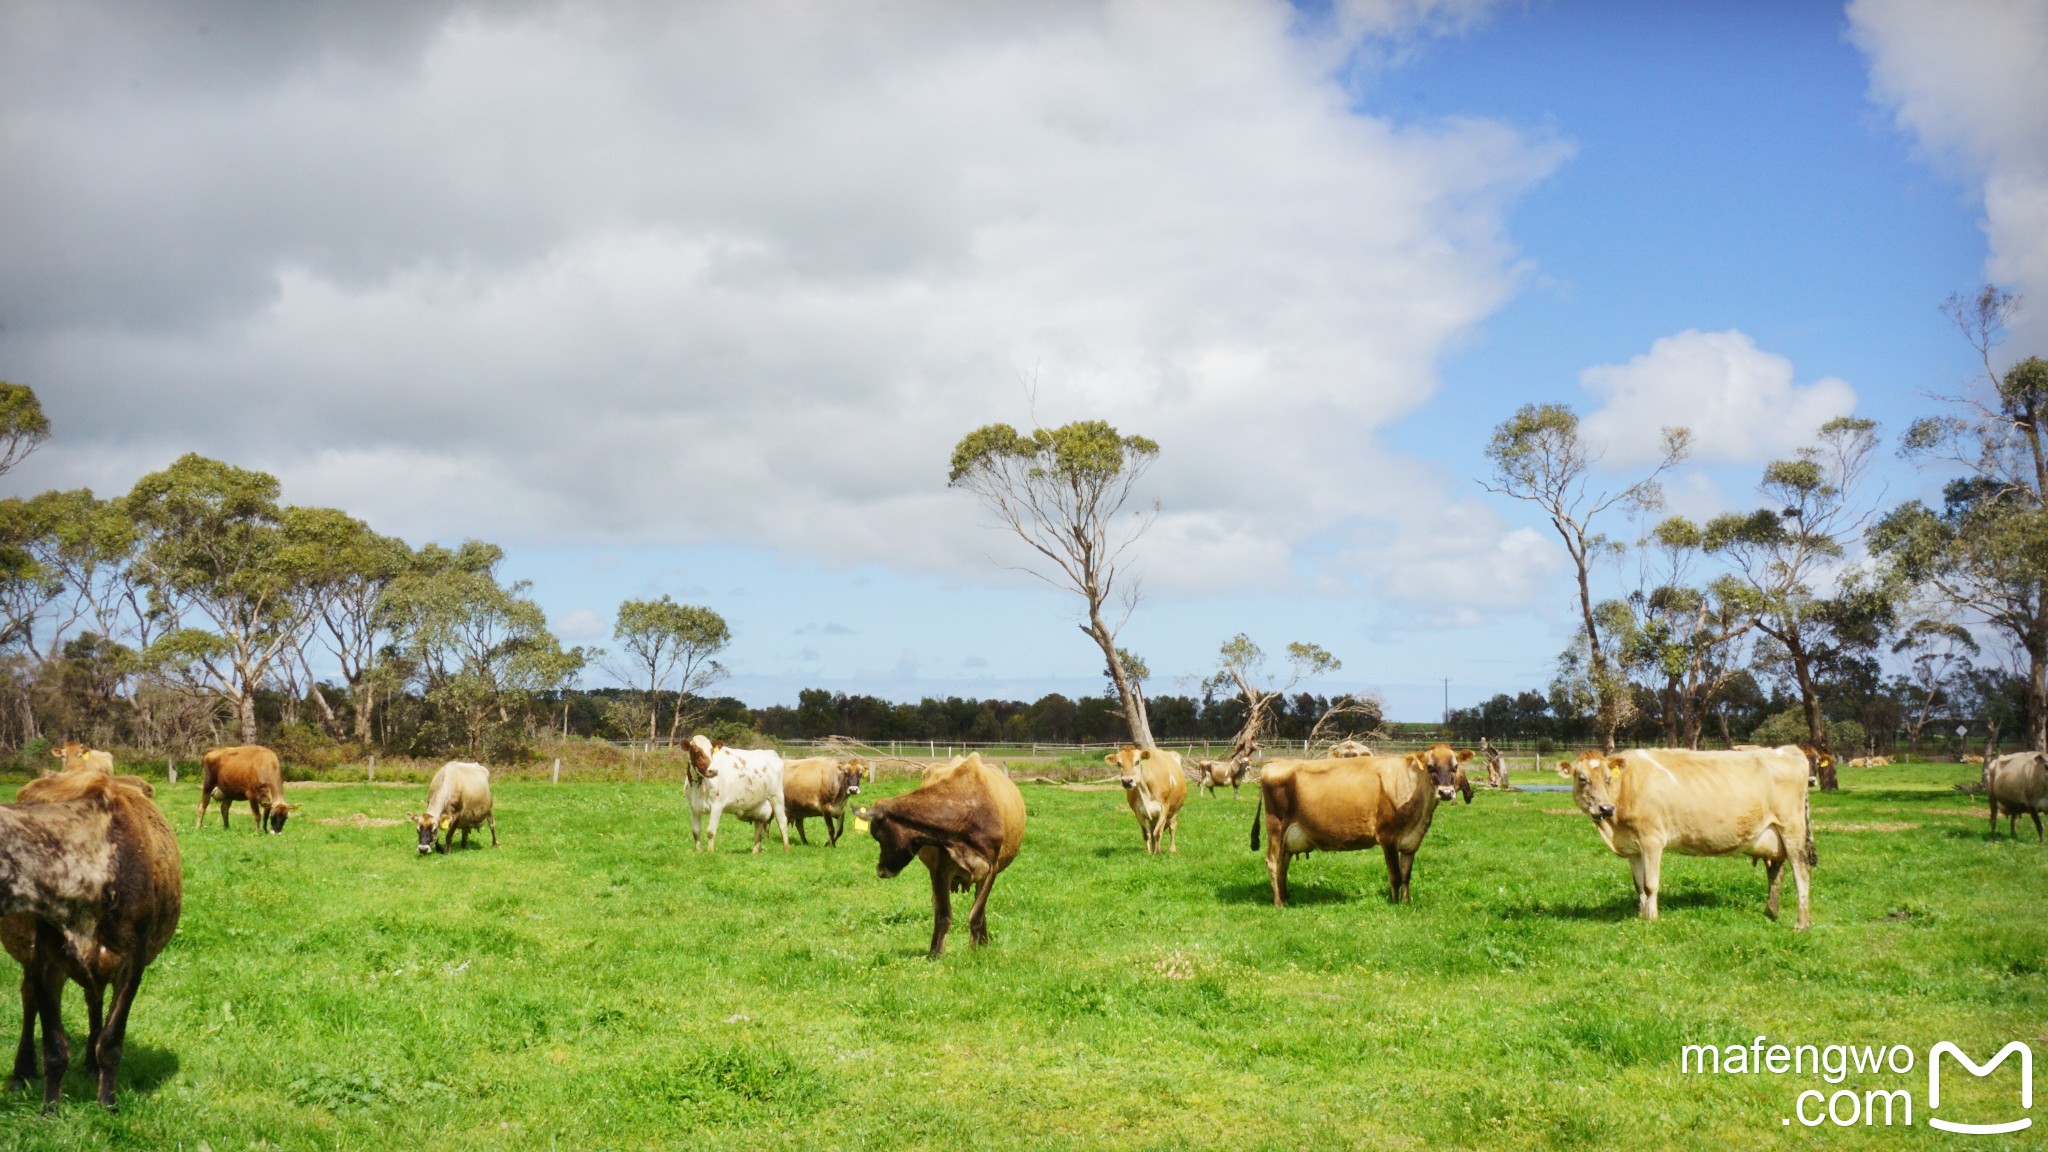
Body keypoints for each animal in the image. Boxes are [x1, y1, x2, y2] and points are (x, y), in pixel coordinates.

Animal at [0, 766, 182, 1106]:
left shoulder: (133, 961)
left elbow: (111, 1041)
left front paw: (107, 1102)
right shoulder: (44, 960)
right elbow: (54, 1048)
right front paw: (50, 1108)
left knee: (93, 999)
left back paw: (91, 1064)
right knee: (29, 999)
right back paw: (22, 1071)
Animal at [847, 750, 1024, 955]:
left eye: (878, 836)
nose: (881, 871)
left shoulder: (991, 868)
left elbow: (976, 913)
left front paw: (974, 950)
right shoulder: (940, 869)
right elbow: (943, 914)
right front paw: (936, 954)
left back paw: (983, 941)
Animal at [1245, 733, 1474, 906]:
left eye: (1455, 767)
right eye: (1430, 766)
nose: (1446, 792)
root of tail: (1274, 762)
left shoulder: (1412, 842)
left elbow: (1406, 875)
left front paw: (1407, 902)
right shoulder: (1388, 837)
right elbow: (1395, 876)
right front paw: (1395, 904)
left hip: (1288, 836)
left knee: (1283, 863)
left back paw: (1285, 897)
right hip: (1275, 824)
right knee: (1272, 861)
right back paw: (1278, 903)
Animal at [1556, 746, 1818, 922]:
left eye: (1608, 779)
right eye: (1582, 779)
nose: (1605, 808)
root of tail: (1788, 749)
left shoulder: (1652, 840)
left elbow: (1650, 885)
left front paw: (1652, 919)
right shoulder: (1633, 848)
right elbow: (1638, 885)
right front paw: (1641, 916)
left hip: (1792, 828)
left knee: (1801, 870)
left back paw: (1801, 923)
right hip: (1772, 835)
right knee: (1776, 869)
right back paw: (1770, 913)